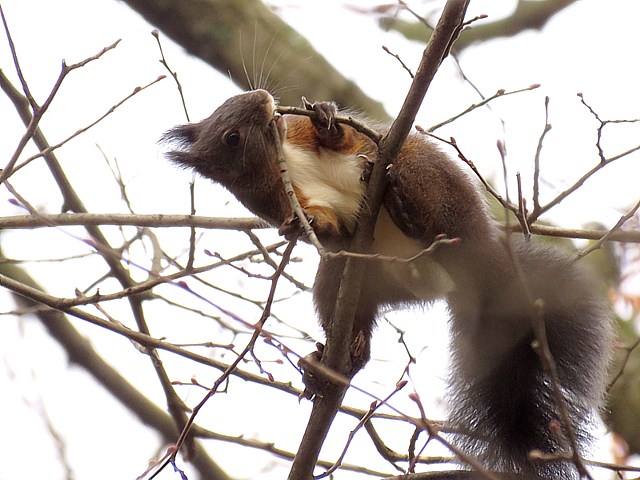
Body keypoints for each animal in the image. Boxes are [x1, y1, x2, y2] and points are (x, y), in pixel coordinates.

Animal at [165, 88, 616, 478]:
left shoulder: (302, 131)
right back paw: (333, 358)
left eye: (235, 100)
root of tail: (479, 266)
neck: (284, 155)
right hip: (352, 278)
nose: (262, 97)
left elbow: (345, 136)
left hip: (425, 177)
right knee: (353, 320)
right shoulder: (276, 200)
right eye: (232, 137)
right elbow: (324, 228)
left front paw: (327, 117)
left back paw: (401, 208)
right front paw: (311, 223)